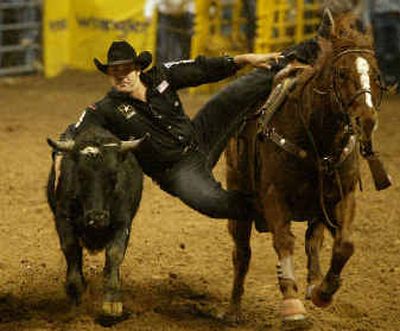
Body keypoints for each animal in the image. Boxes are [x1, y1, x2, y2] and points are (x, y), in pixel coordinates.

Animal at [223, 9, 390, 326]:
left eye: (375, 74)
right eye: (341, 73)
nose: (366, 120)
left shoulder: (344, 195)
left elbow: (344, 244)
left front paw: (324, 291)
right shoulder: (273, 196)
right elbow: (283, 242)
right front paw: (292, 305)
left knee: (314, 240)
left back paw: (314, 283)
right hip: (239, 196)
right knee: (242, 253)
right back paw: (234, 309)